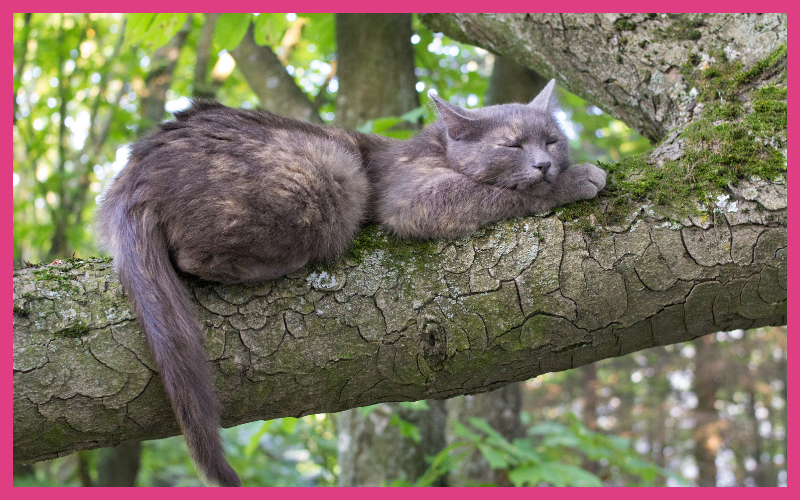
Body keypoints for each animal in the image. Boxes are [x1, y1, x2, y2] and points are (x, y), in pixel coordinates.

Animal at [97, 80, 604, 486]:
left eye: (552, 140)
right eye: (513, 146)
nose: (544, 164)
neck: (434, 148)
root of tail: (135, 176)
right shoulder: (415, 197)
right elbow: (498, 193)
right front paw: (579, 178)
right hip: (332, 171)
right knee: (195, 256)